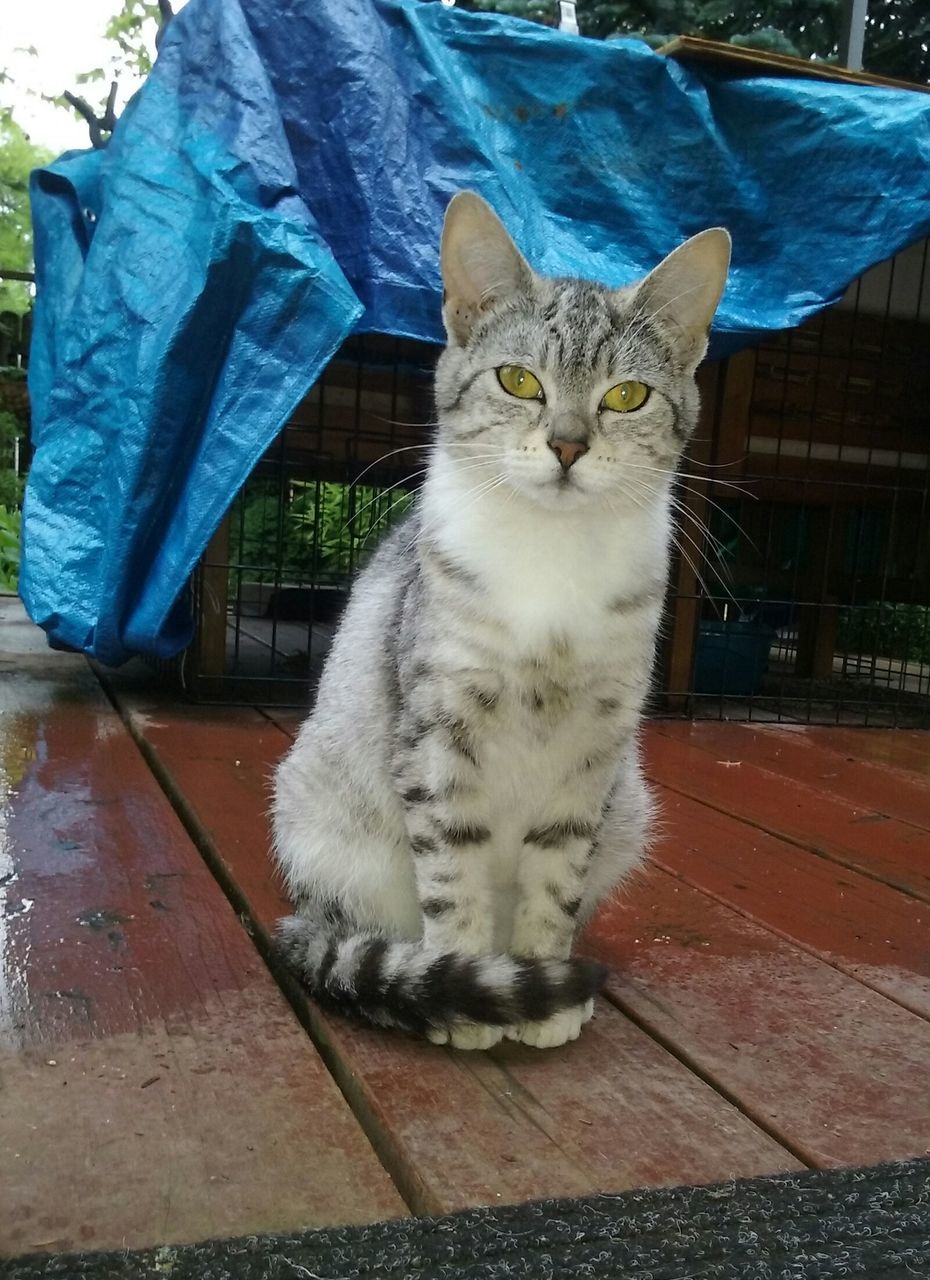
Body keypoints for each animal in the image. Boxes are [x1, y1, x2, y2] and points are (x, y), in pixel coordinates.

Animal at [272, 189, 731, 1049]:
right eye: (519, 381)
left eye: (627, 395)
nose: (568, 445)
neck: (551, 559)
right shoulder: (439, 735)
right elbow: (454, 875)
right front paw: (465, 985)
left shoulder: (593, 752)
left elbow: (556, 881)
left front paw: (541, 984)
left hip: (629, 805)